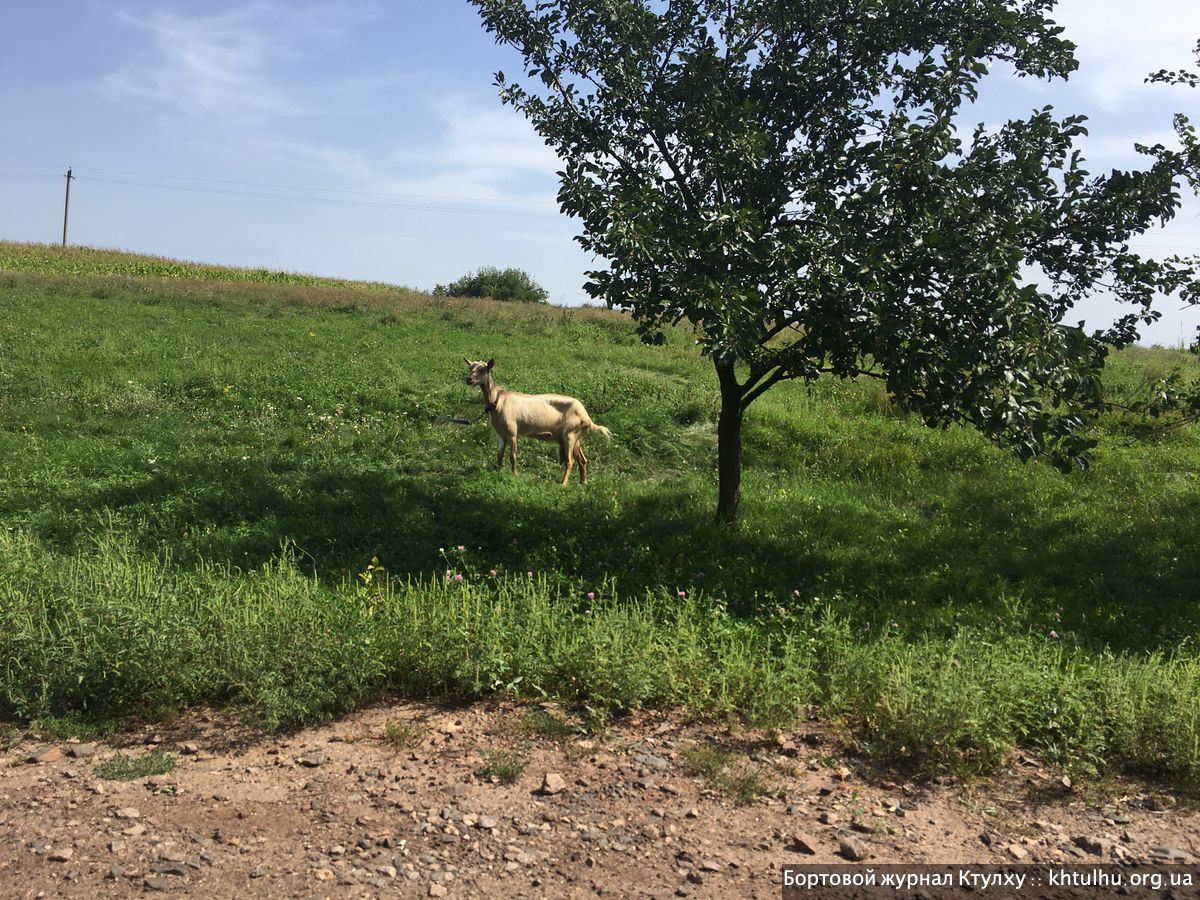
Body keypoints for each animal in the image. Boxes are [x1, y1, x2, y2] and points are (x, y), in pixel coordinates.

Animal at [458, 357, 609, 487]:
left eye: (483, 369)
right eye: (470, 367)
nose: (469, 379)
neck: (497, 401)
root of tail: (587, 417)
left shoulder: (513, 432)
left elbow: (512, 455)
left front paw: (514, 474)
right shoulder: (499, 433)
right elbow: (499, 454)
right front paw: (498, 471)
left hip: (570, 435)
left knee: (570, 461)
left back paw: (563, 484)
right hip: (577, 437)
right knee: (582, 460)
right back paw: (583, 482)